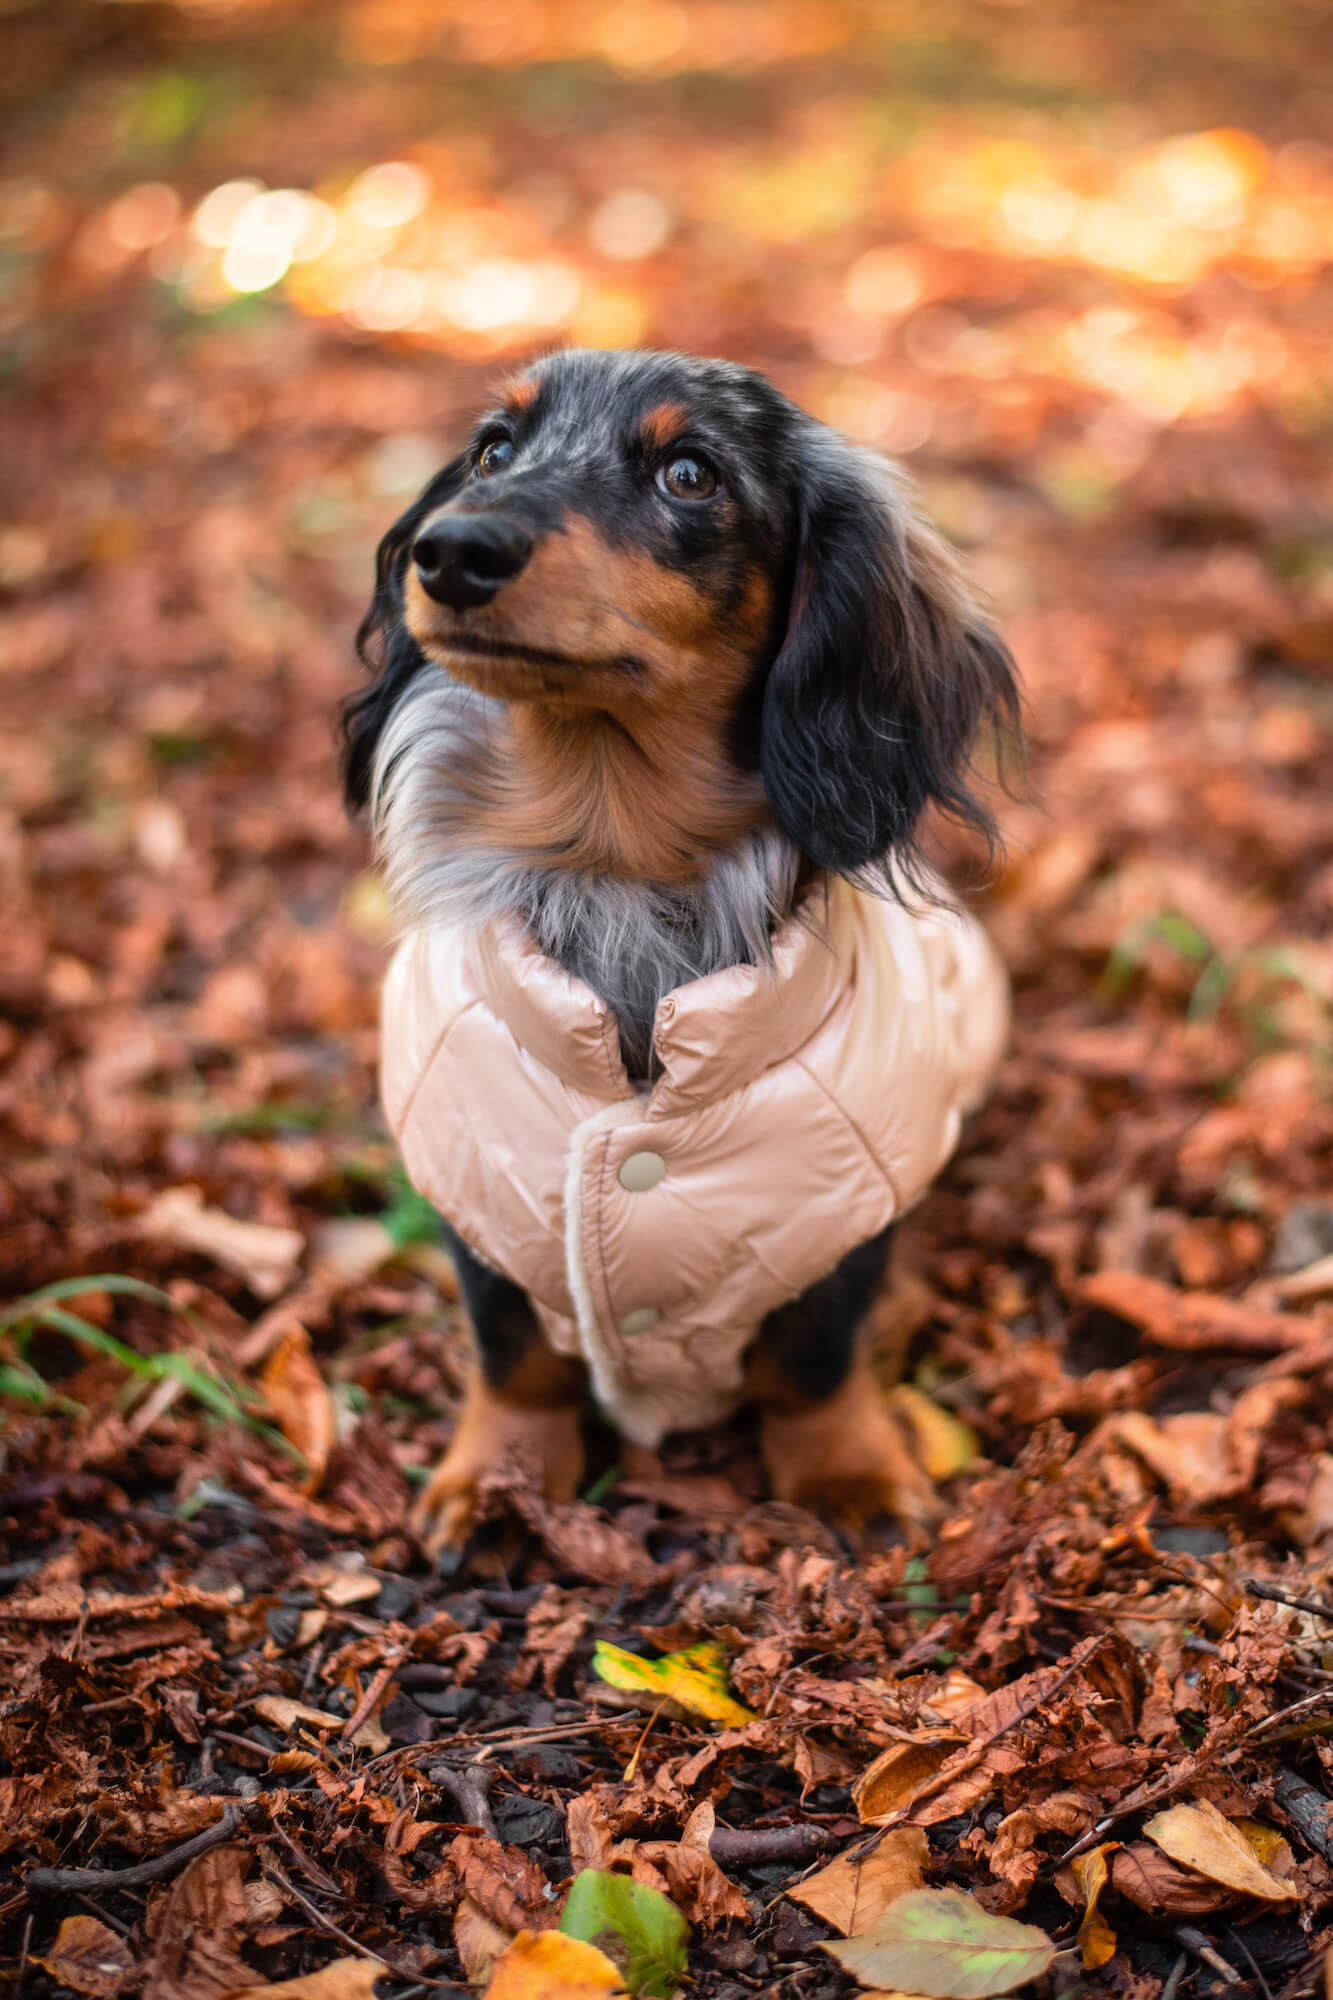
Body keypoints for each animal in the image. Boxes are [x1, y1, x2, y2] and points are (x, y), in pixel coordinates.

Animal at [342, 348, 1016, 1544]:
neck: (620, 865)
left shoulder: (848, 1199)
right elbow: (511, 1350)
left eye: (690, 472)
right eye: (494, 449)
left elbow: (813, 1352)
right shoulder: (473, 1177)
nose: (452, 550)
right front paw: (499, 1472)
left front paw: (844, 1469)